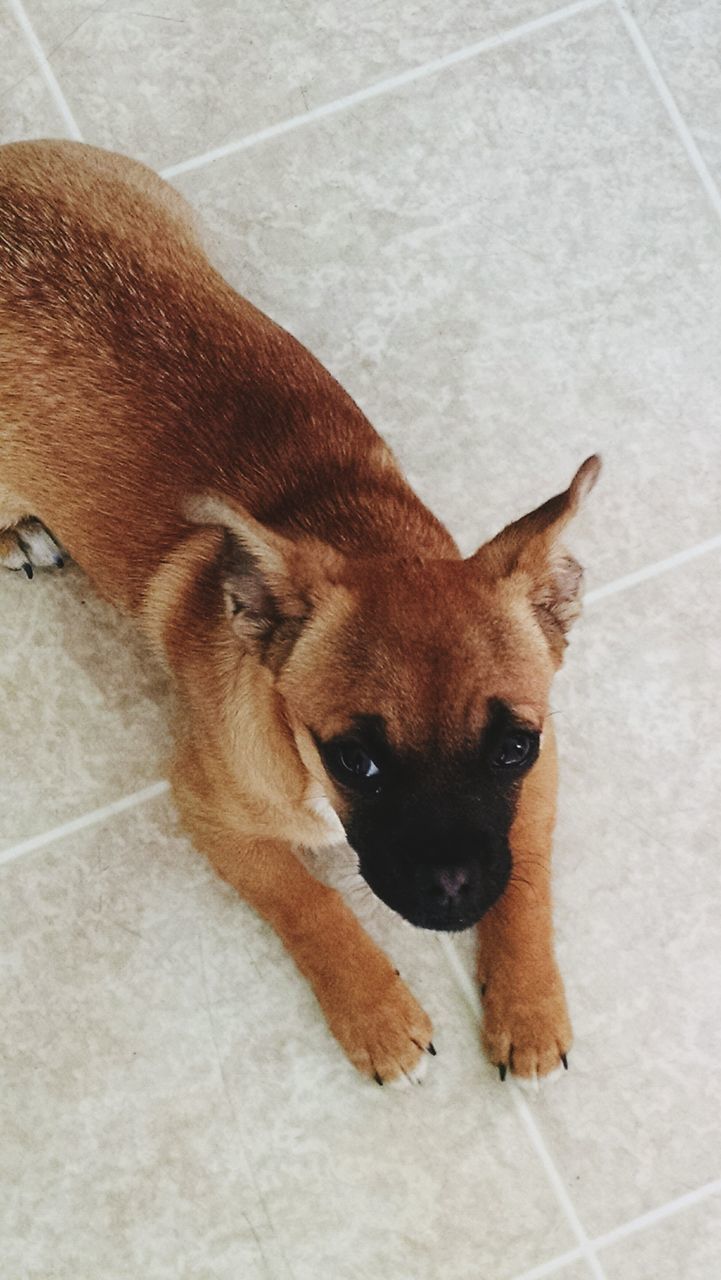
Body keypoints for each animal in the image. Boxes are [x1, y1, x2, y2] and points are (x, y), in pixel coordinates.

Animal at [0, 137, 599, 1080]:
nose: (451, 895)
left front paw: (528, 1002)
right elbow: (307, 902)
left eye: (513, 747)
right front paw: (376, 1012)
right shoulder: (209, 810)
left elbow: (527, 871)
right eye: (354, 760)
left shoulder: (543, 772)